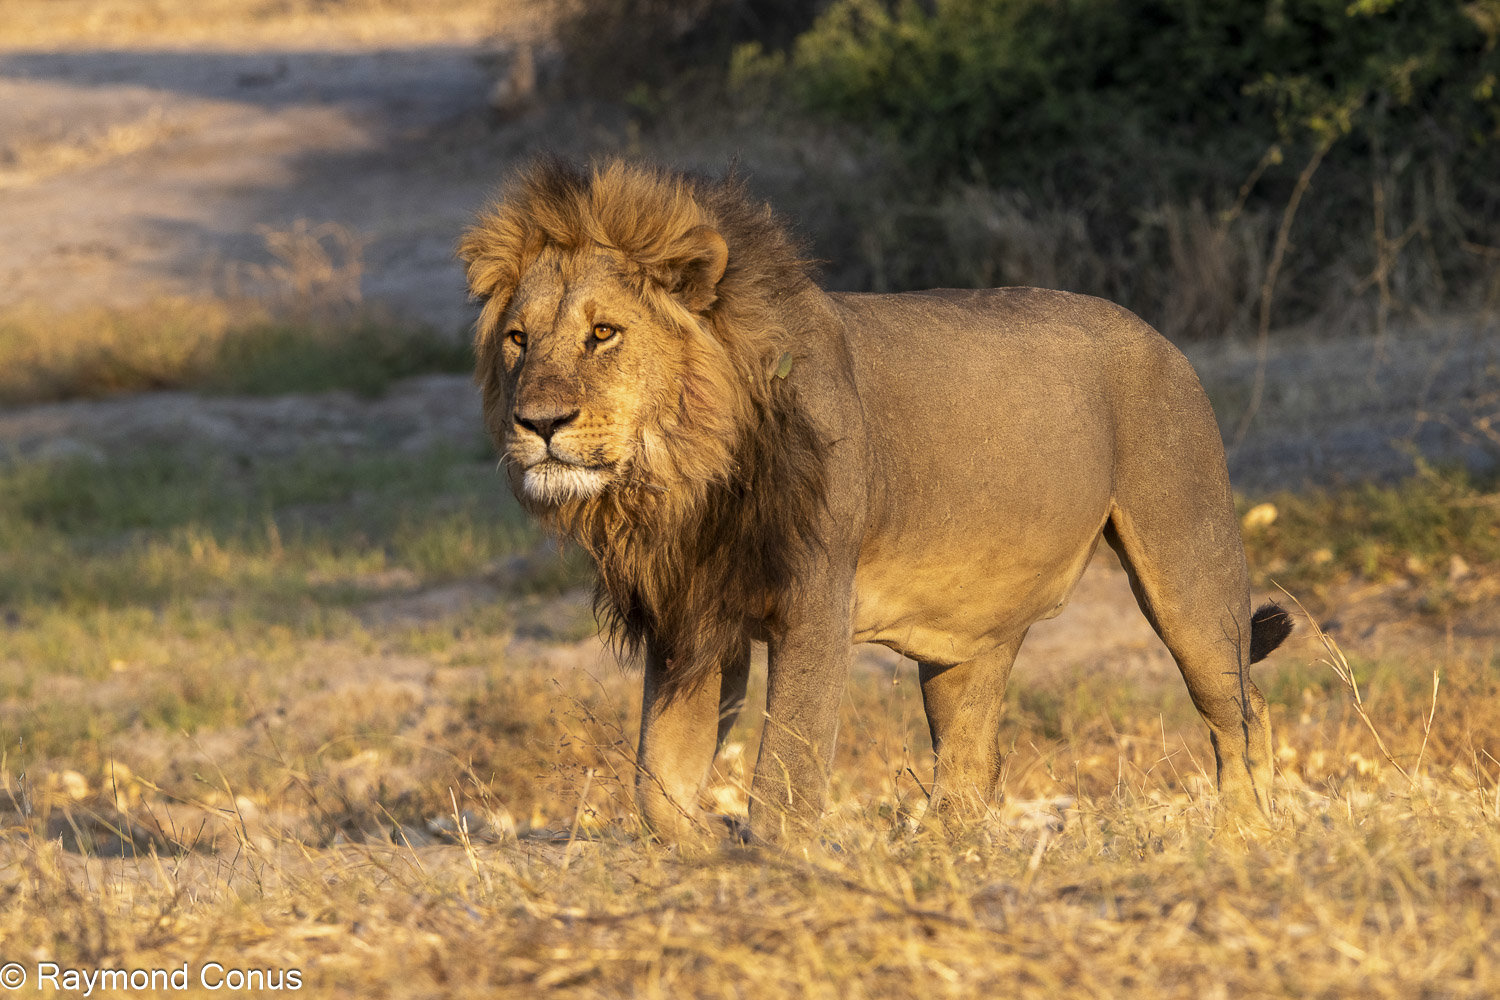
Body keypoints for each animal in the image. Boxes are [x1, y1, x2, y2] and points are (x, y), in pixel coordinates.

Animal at [459, 158, 1293, 843]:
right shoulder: (692, 619)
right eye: (518, 339)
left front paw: (772, 868)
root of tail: (1163, 339)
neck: (677, 480)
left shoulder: (815, 603)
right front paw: (708, 845)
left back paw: (1243, 836)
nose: (538, 424)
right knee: (969, 765)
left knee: (1242, 715)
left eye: (604, 333)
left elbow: (786, 777)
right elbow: (654, 787)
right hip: (968, 641)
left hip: (1190, 573)